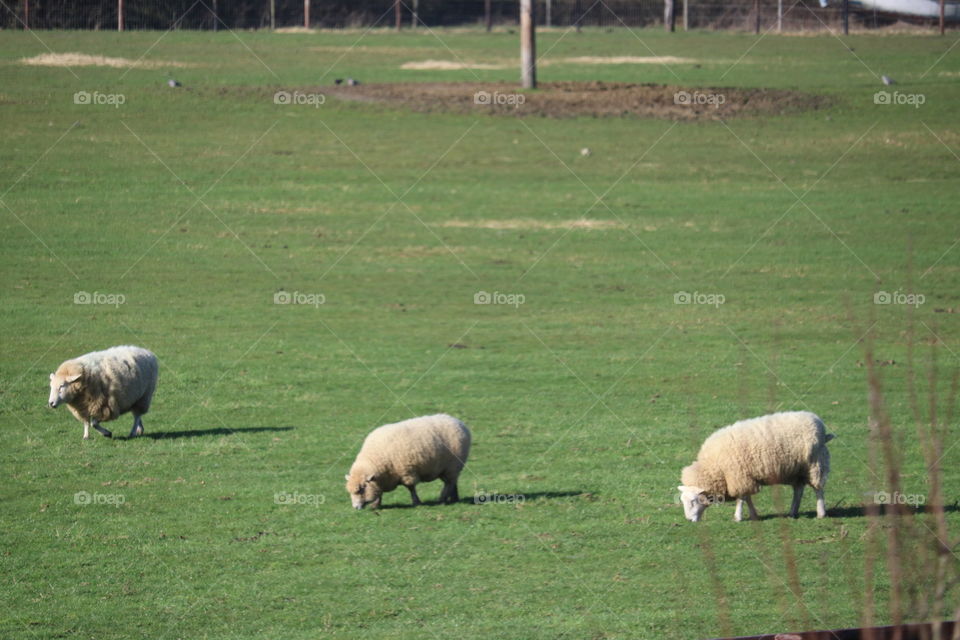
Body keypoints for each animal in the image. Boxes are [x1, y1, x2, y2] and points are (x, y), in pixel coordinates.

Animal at [677, 411, 834, 522]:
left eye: (693, 501)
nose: (688, 520)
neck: (714, 465)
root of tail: (818, 423)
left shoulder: (738, 476)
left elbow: (741, 498)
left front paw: (738, 517)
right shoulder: (744, 477)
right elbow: (747, 498)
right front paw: (754, 515)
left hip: (815, 463)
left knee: (818, 488)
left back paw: (821, 513)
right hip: (796, 469)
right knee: (798, 490)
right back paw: (792, 512)